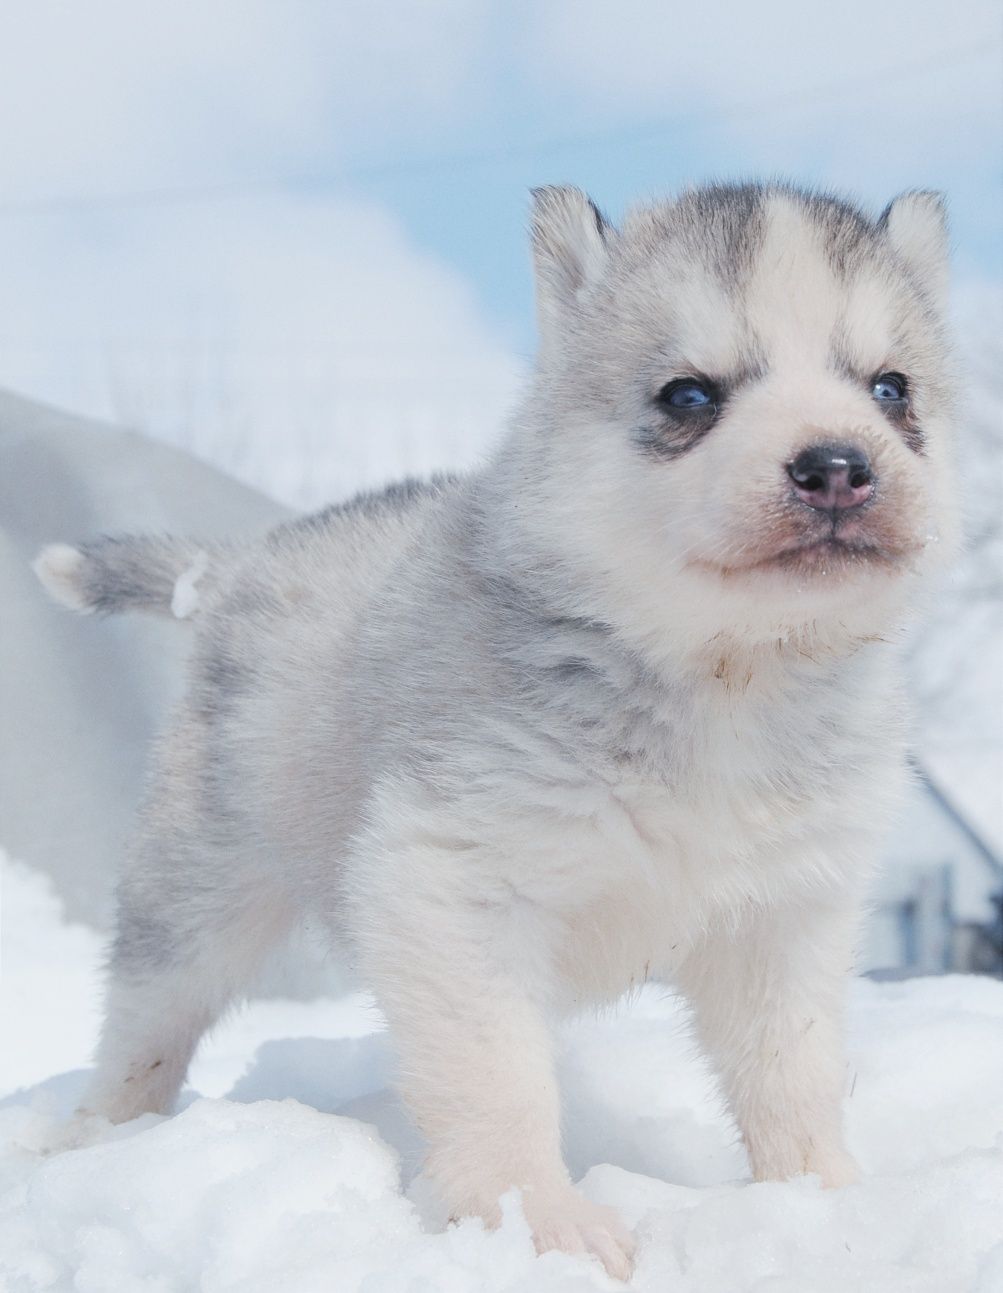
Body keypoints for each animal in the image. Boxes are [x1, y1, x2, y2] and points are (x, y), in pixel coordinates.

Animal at [33, 184, 956, 1282]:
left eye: (890, 389)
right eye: (688, 396)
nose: (837, 466)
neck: (719, 675)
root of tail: (241, 561)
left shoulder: (785, 915)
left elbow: (793, 1070)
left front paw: (824, 1203)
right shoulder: (447, 883)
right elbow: (497, 1079)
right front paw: (536, 1221)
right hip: (195, 893)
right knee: (146, 1022)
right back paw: (96, 1134)